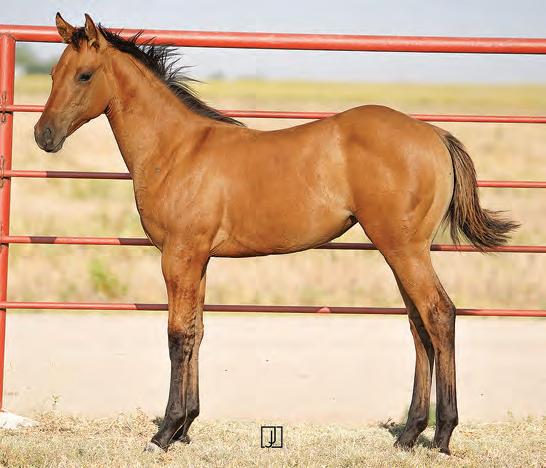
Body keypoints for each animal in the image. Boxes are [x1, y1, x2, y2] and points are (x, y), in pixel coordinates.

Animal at [34, 13, 518, 454]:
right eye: (54, 74)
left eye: (84, 75)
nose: (43, 136)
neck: (177, 150)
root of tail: (433, 133)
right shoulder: (198, 259)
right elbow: (198, 329)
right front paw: (187, 425)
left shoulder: (178, 255)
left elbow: (177, 334)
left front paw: (165, 432)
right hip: (401, 250)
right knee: (419, 326)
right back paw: (409, 433)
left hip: (404, 249)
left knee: (439, 315)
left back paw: (442, 435)